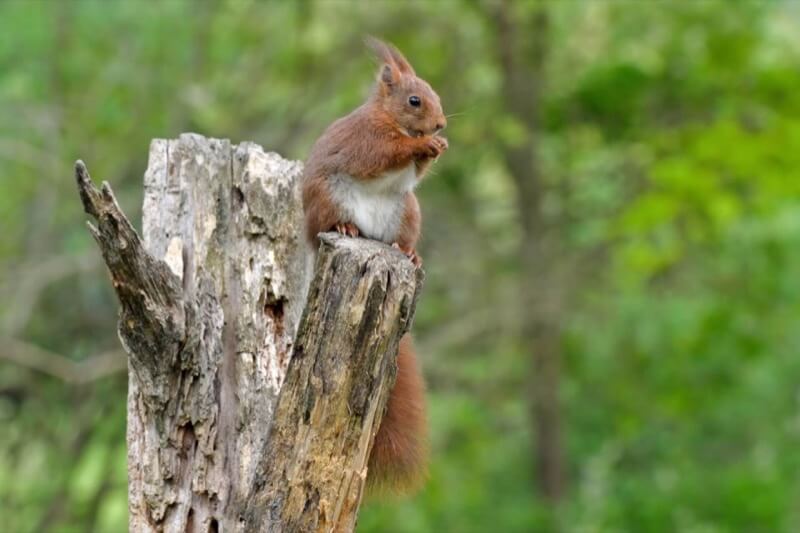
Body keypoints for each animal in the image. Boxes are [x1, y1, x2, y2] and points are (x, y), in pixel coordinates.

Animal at [302, 37, 446, 494]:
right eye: (415, 100)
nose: (440, 126)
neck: (389, 118)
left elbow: (414, 172)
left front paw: (435, 150)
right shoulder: (365, 140)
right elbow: (383, 155)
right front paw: (421, 146)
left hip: (407, 212)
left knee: (401, 237)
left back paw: (409, 253)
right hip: (328, 199)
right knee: (334, 220)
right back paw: (346, 227)